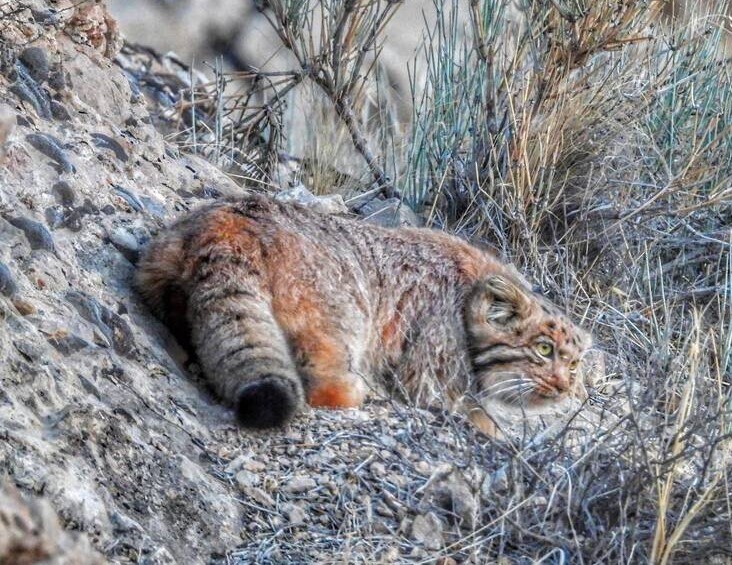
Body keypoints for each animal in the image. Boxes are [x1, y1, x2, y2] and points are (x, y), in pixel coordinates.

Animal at [134, 195, 592, 436]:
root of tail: (229, 222)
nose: (567, 385)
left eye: (574, 363)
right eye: (544, 349)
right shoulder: (431, 373)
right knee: (323, 385)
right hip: (341, 317)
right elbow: (474, 415)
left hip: (158, 266)